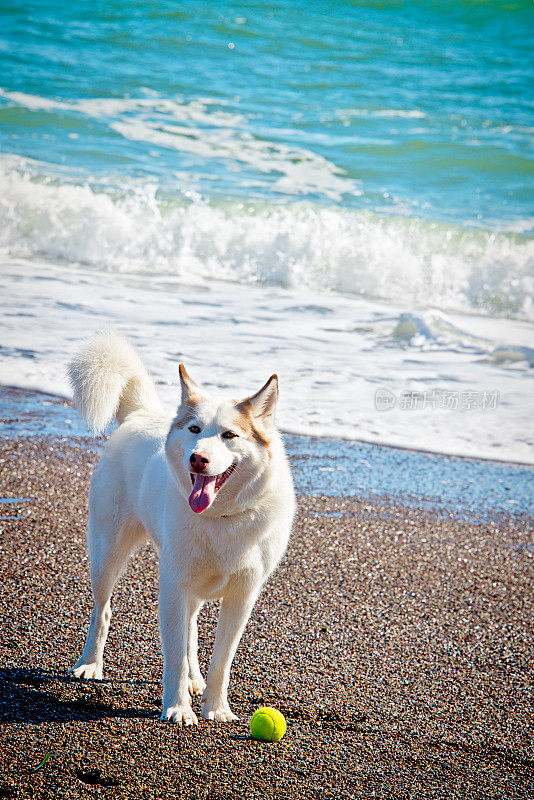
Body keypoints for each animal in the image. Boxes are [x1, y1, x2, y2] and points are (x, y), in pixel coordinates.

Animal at [67, 332, 298, 724]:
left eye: (229, 435)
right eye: (195, 430)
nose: (198, 458)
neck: (222, 516)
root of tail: (142, 413)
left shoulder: (242, 597)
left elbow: (221, 660)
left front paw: (216, 708)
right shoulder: (174, 586)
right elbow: (173, 654)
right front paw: (177, 707)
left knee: (190, 629)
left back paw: (194, 679)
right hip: (107, 553)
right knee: (103, 609)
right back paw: (90, 664)